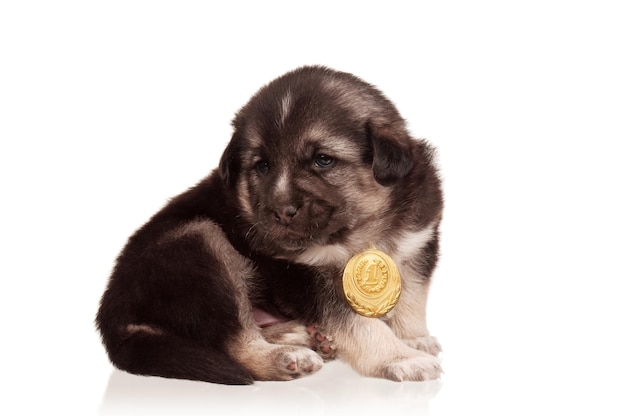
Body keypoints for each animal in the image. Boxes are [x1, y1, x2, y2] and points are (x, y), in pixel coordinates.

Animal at [95, 65, 442, 384]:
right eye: (261, 166)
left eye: (323, 160)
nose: (281, 212)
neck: (360, 229)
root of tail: (113, 316)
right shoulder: (306, 275)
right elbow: (357, 323)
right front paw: (400, 357)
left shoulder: (417, 244)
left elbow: (411, 297)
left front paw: (413, 339)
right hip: (198, 243)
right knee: (236, 343)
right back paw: (286, 357)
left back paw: (304, 336)